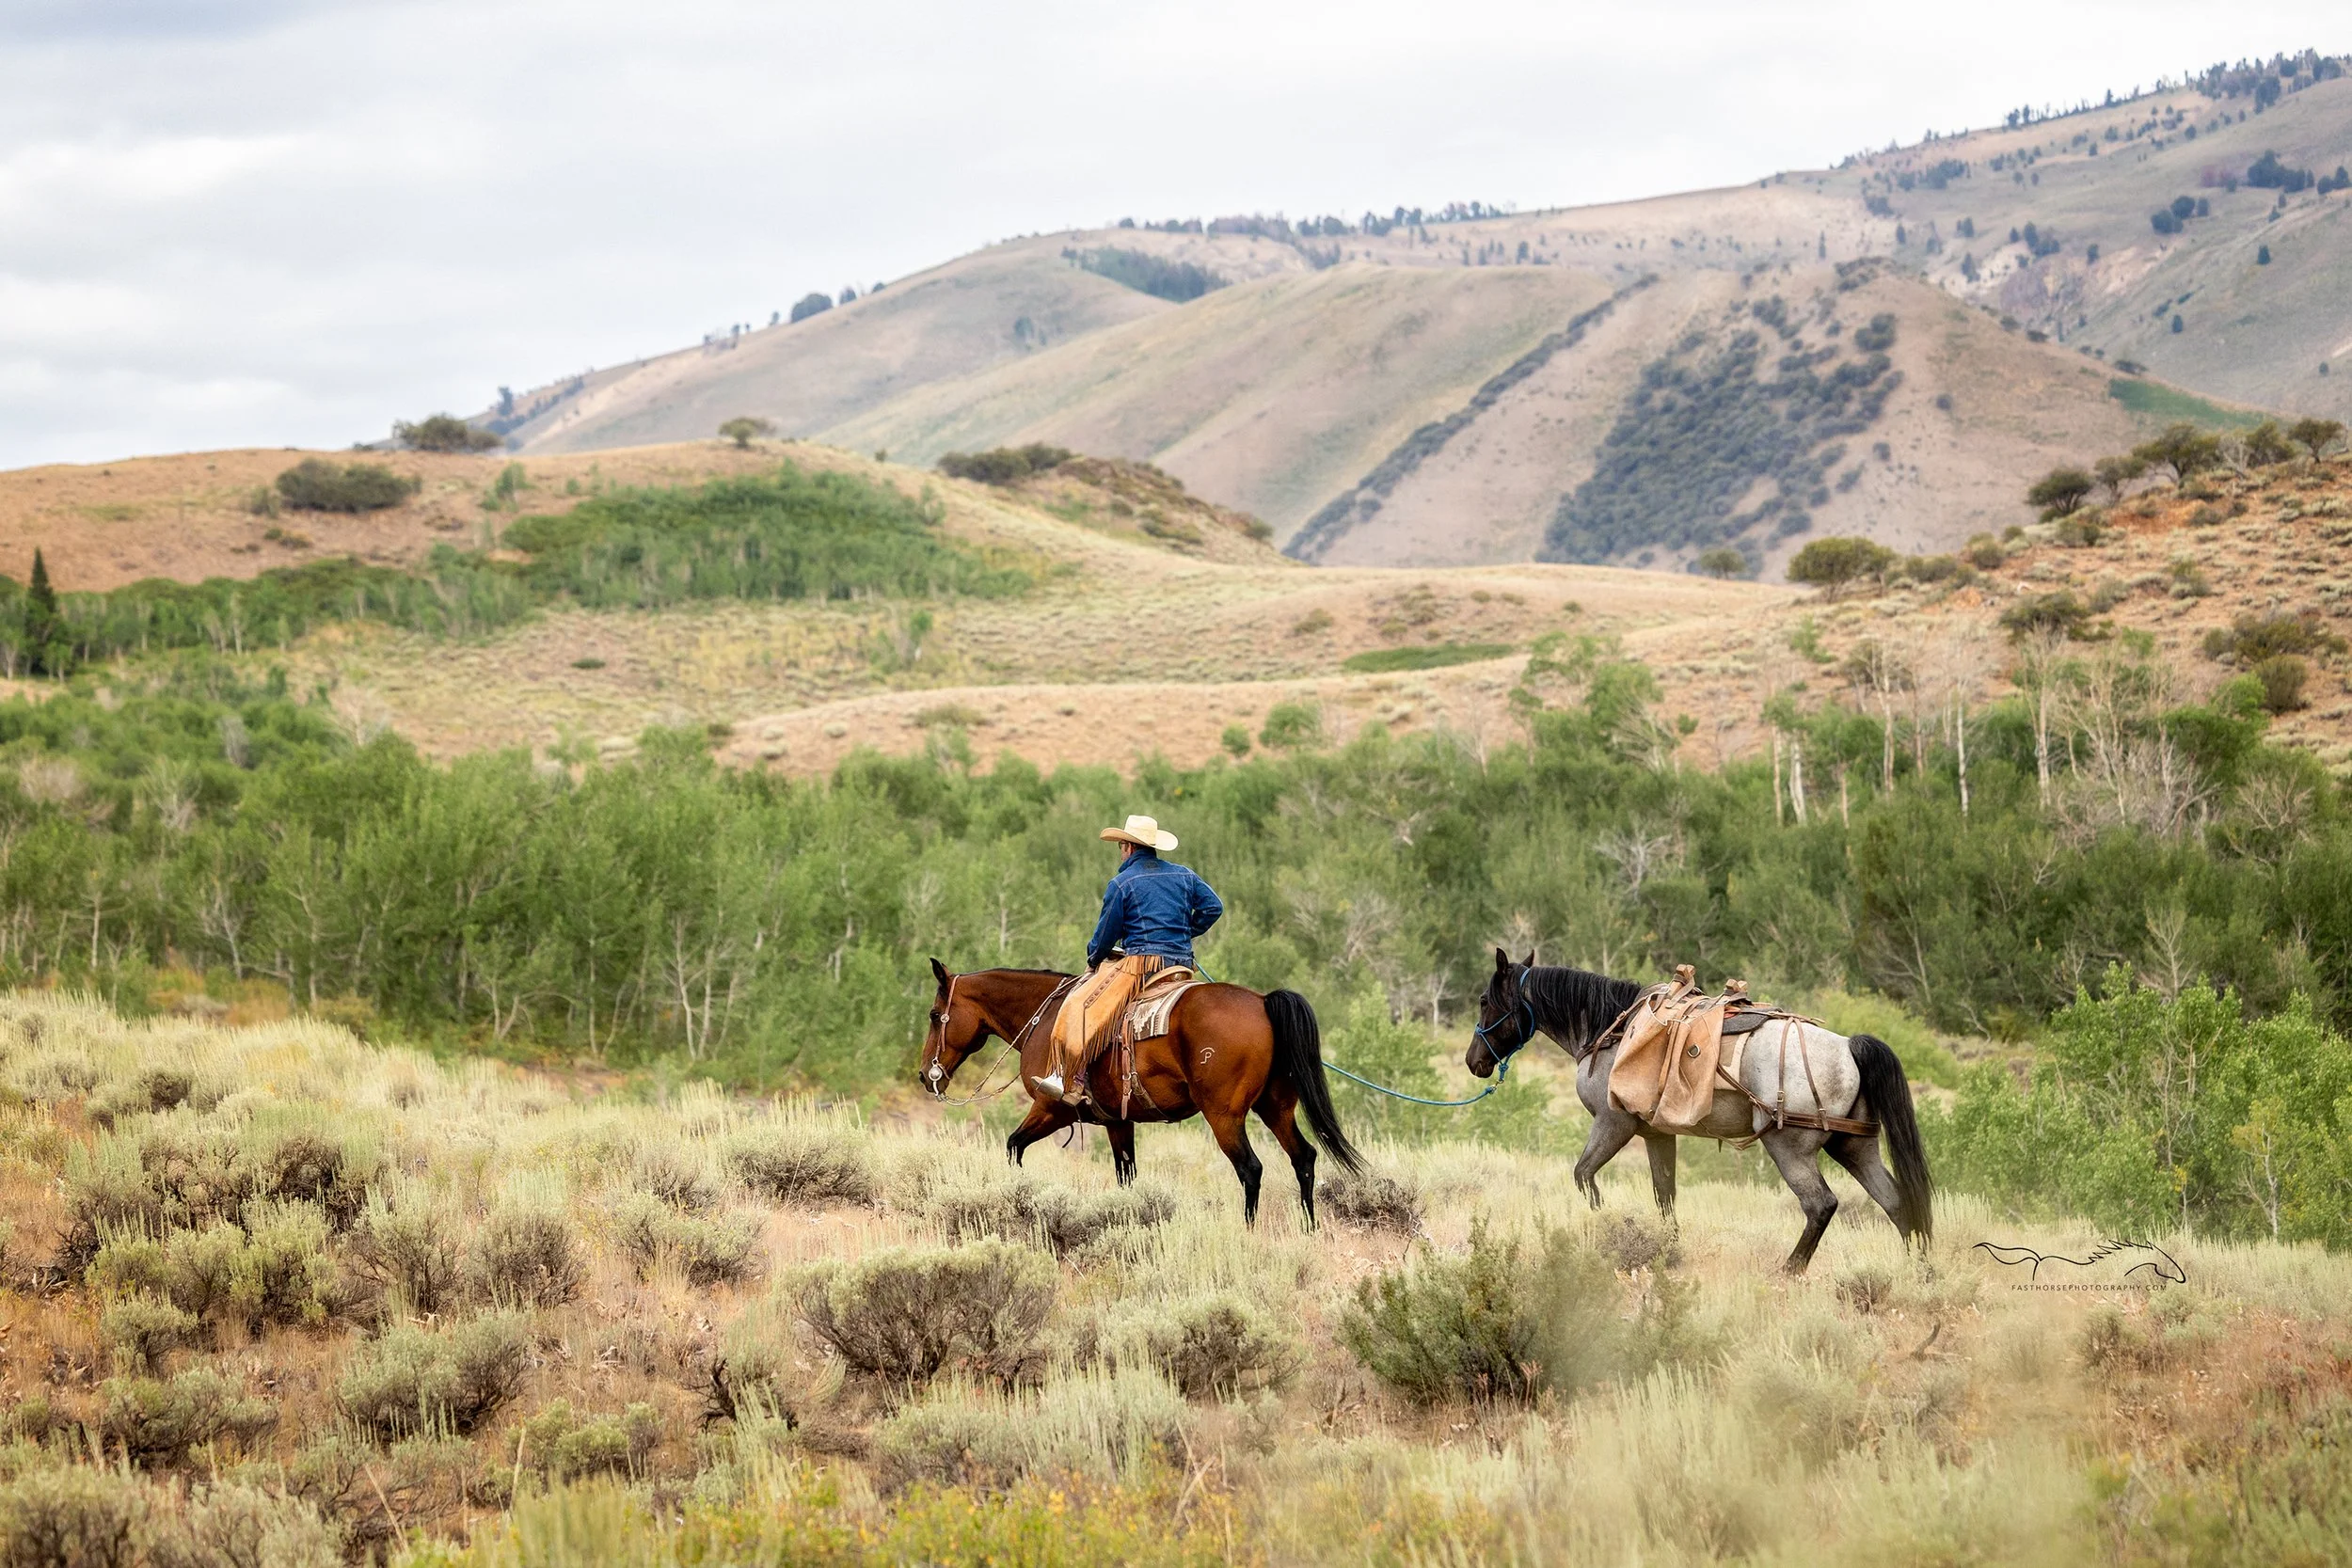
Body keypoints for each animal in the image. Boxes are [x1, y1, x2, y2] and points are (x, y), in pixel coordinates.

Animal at [918, 959, 1363, 1224]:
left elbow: (1013, 1145)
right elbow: (1126, 1175)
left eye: (935, 1015)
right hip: (1275, 1109)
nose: (925, 1074)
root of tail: (1262, 1002)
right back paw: (1308, 1229)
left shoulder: (1052, 1109)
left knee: (1251, 1169)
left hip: (1224, 1116)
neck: (1046, 1019)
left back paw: (1249, 1230)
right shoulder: (1118, 1122)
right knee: (1303, 1159)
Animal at [1466, 950, 1933, 1274]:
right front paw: (1669, 1249)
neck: (1611, 1030)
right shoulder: (1657, 1134)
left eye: (1485, 999)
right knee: (1898, 1205)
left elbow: (1585, 1177)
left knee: (1821, 1205)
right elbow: (1665, 1195)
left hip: (1791, 1149)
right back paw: (1919, 1273)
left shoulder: (1614, 1123)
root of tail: (1848, 1047)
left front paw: (1608, 1230)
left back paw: (1789, 1270)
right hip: (1854, 1147)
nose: (1475, 1061)